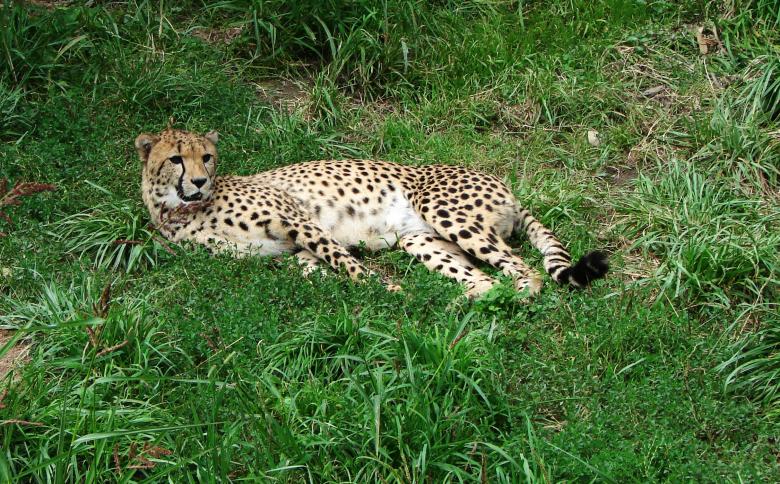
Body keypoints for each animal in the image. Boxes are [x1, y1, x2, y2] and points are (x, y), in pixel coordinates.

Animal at [136, 128, 608, 299]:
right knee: (485, 276)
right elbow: (316, 268)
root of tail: (504, 185)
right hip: (422, 240)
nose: (199, 181)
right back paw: (466, 302)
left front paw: (388, 291)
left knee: (523, 268)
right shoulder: (290, 250)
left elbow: (347, 263)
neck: (179, 211)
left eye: (207, 157)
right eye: (176, 159)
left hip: (442, 209)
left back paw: (516, 295)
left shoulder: (299, 220)